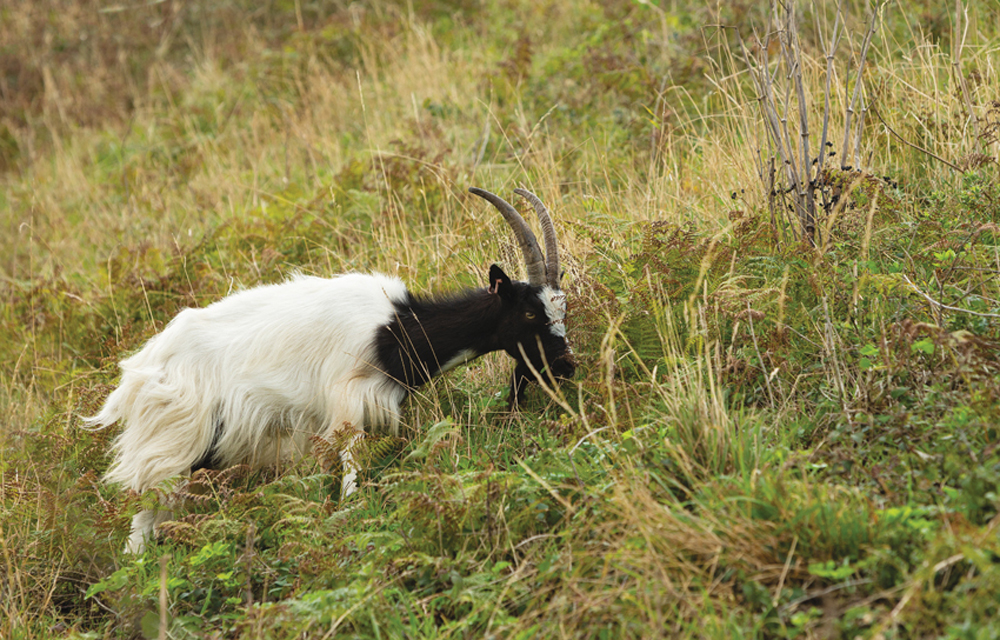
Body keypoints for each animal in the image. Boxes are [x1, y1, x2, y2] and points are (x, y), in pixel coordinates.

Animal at [84, 187, 574, 554]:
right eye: (530, 313)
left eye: (562, 307)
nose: (566, 365)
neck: (396, 328)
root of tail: (140, 372)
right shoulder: (347, 400)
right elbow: (351, 464)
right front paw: (353, 515)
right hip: (174, 441)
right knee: (142, 521)